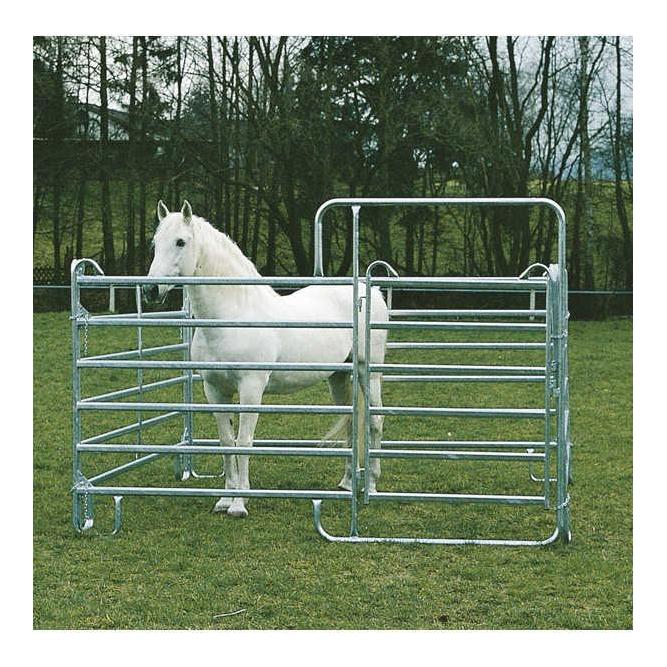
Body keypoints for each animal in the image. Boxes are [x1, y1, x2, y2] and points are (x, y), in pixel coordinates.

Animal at [143, 200, 388, 517]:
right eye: (155, 243)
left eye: (181, 242)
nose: (150, 290)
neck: (233, 316)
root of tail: (371, 293)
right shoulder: (215, 389)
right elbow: (226, 442)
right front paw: (225, 500)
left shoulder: (251, 388)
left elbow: (244, 442)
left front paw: (240, 504)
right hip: (339, 376)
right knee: (350, 422)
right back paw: (346, 483)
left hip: (368, 372)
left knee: (375, 420)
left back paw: (371, 485)